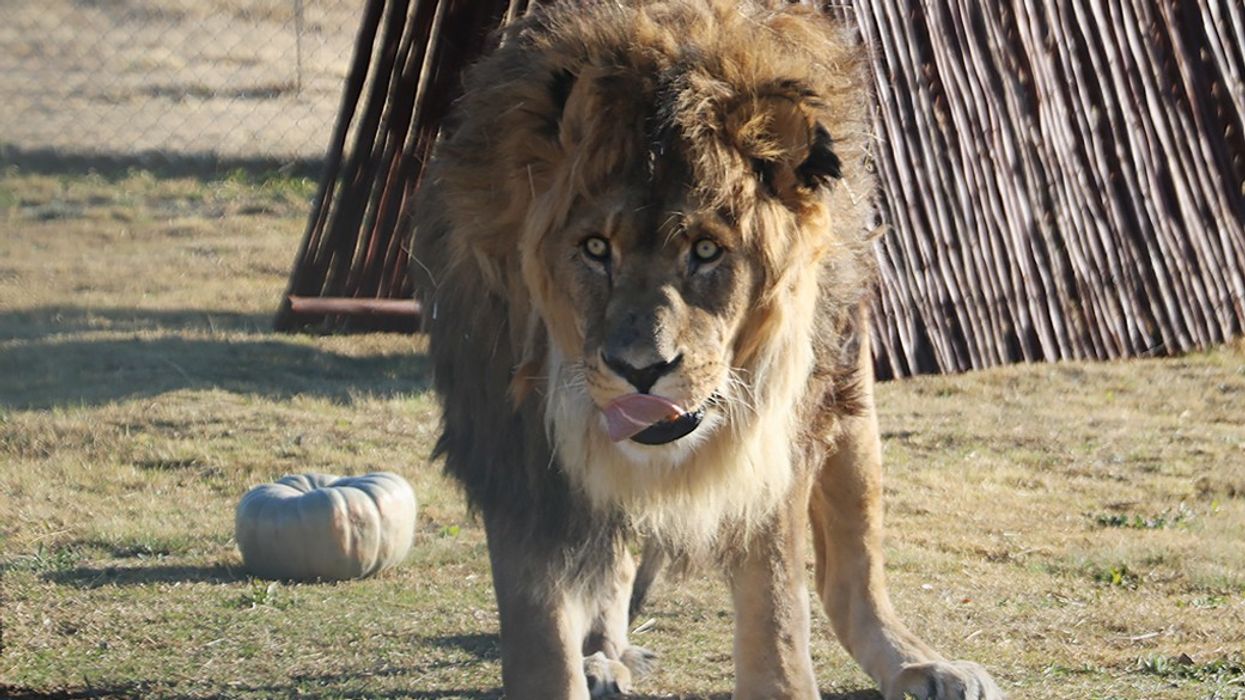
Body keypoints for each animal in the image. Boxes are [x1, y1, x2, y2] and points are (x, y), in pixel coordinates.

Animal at [409, 1, 1003, 698]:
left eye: (707, 251)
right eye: (594, 248)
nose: (641, 371)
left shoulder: (773, 436)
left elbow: (776, 611)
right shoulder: (510, 441)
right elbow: (541, 632)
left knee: (850, 572)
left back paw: (923, 665)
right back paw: (604, 656)